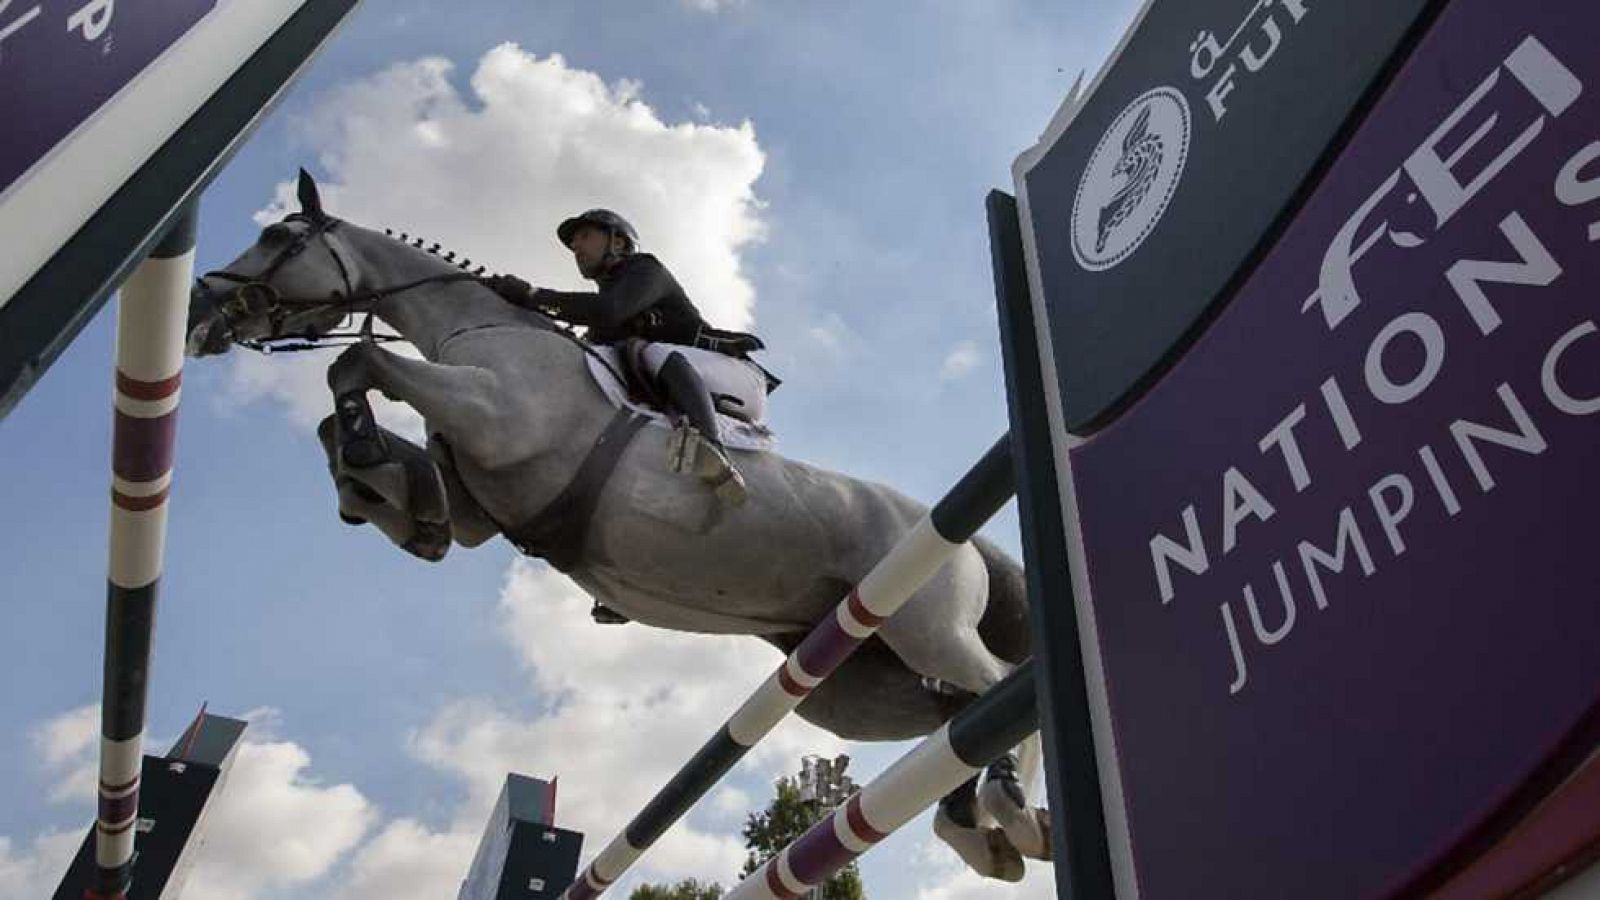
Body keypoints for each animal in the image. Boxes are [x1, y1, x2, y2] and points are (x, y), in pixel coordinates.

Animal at [187, 169, 1056, 877]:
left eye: (277, 237)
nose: (199, 310)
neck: (479, 331)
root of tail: (955, 536)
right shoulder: (482, 501)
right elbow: (387, 454)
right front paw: (380, 488)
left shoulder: (496, 416)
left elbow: (357, 363)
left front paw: (367, 452)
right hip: (852, 686)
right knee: (954, 713)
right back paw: (974, 826)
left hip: (923, 625)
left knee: (1001, 682)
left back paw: (1012, 813)